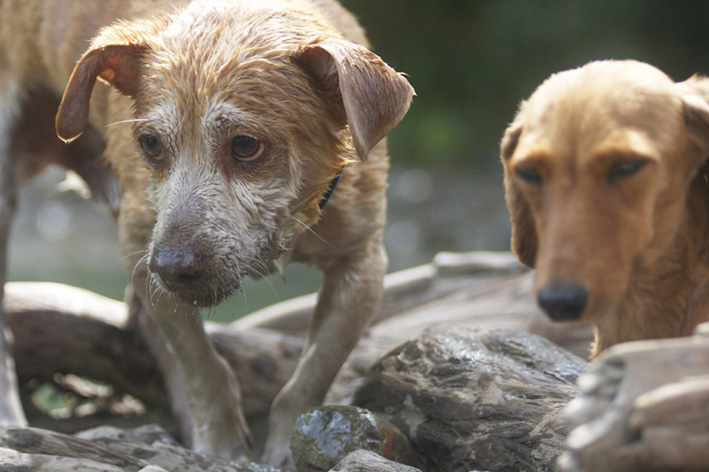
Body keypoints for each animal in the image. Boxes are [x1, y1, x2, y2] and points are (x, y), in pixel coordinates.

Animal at [0, 0, 412, 464]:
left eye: (246, 145)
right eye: (150, 143)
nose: (172, 266)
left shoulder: (362, 266)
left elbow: (313, 372)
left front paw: (287, 447)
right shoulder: (141, 250)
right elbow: (201, 364)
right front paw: (221, 444)